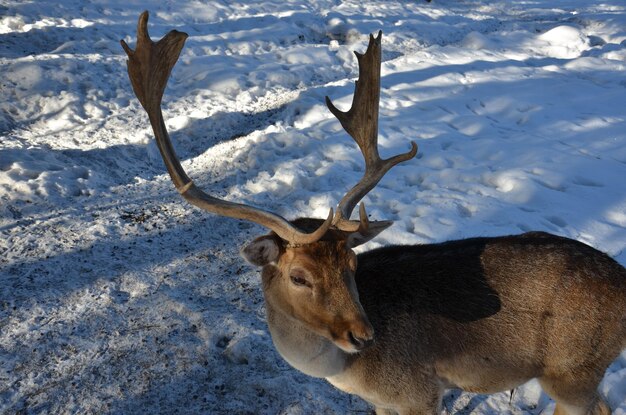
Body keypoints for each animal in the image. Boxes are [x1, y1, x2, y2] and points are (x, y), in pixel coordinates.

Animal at [122, 12, 624, 415]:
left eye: (353, 263)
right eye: (299, 276)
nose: (364, 334)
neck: (350, 373)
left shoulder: (418, 392)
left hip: (572, 370)